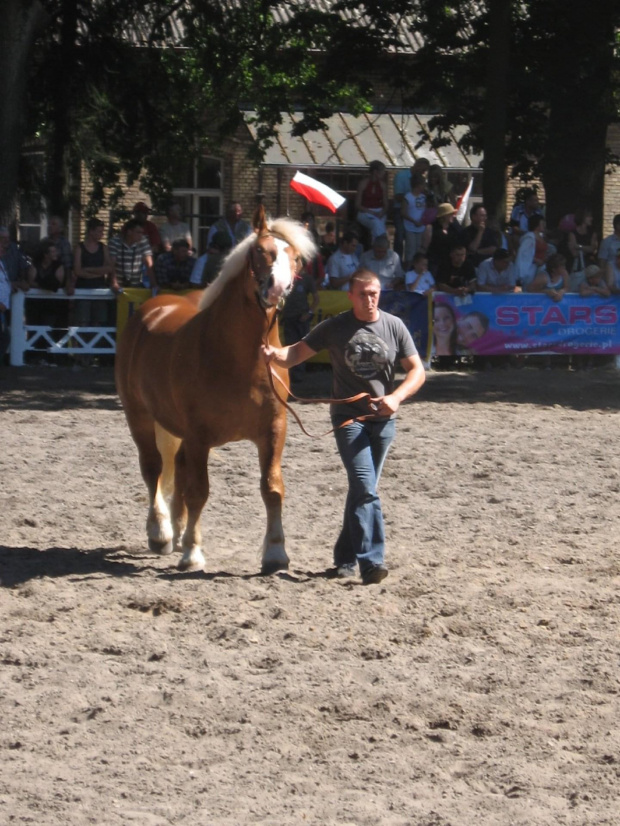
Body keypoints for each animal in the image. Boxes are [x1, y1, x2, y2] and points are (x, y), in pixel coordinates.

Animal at [116, 211, 318, 572]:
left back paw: (178, 529)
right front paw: (192, 553)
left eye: (295, 258)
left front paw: (276, 553)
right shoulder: (199, 436)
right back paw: (162, 533)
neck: (241, 359)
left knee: (177, 468)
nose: (278, 287)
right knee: (154, 469)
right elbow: (199, 491)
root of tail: (151, 309)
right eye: (260, 251)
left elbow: (272, 489)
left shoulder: (274, 430)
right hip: (139, 417)